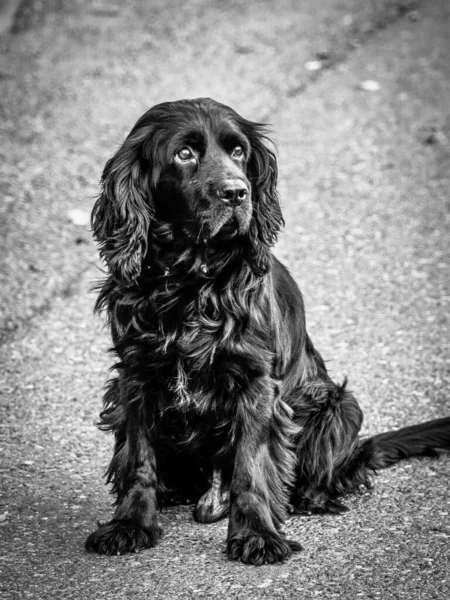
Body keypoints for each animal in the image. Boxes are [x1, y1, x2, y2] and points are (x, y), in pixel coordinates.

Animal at [87, 97, 450, 564]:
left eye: (239, 151)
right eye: (184, 154)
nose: (237, 193)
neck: (190, 282)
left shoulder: (257, 384)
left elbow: (252, 466)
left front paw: (256, 535)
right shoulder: (134, 375)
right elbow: (138, 459)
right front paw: (129, 524)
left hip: (338, 405)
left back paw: (306, 499)